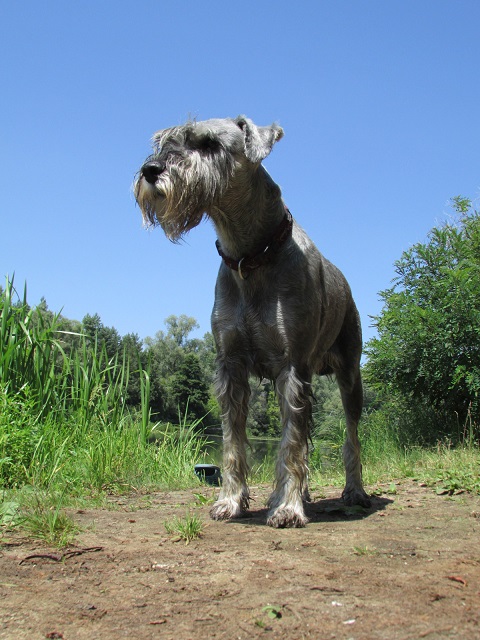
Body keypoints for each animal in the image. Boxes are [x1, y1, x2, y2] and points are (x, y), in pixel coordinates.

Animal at [135, 116, 371, 527]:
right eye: (164, 141)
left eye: (209, 144)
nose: (152, 169)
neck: (251, 255)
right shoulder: (231, 367)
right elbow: (234, 442)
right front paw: (231, 501)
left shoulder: (293, 368)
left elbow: (290, 445)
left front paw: (287, 508)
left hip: (349, 378)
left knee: (349, 438)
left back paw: (351, 491)